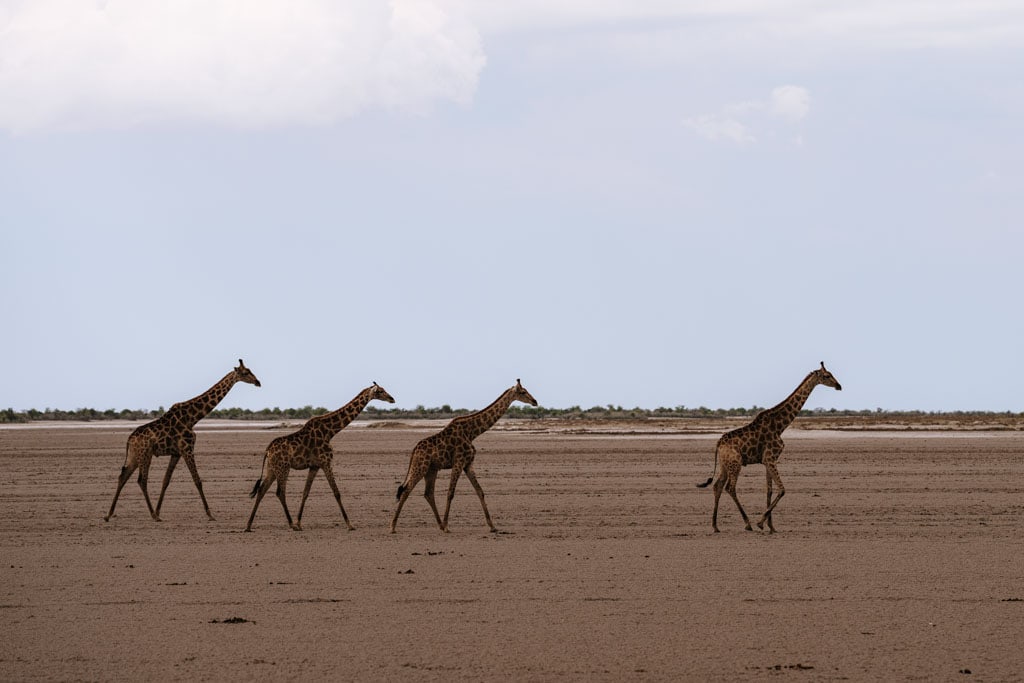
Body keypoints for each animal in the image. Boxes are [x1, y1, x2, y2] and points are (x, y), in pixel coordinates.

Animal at [104, 358, 262, 524]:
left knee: (123, 476)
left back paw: (109, 514)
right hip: (145, 454)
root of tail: (130, 439)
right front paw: (210, 514)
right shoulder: (187, 448)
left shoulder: (176, 453)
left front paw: (159, 511)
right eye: (245, 372)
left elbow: (166, 481)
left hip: (134, 456)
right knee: (141, 480)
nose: (258, 382)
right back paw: (152, 515)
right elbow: (197, 480)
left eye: (250, 370)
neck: (193, 418)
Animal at [243, 382, 395, 532]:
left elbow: (305, 492)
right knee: (280, 492)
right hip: (283, 467)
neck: (330, 432)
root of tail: (267, 450)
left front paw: (299, 522)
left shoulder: (314, 466)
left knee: (262, 490)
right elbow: (336, 492)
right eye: (380, 391)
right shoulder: (326, 462)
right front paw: (350, 525)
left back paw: (248, 525)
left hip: (272, 468)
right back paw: (291, 525)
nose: (392, 399)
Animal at [387, 378, 540, 532]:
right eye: (523, 392)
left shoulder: (468, 464)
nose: (535, 401)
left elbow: (480, 491)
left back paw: (439, 525)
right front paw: (447, 526)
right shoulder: (459, 462)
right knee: (406, 490)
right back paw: (393, 527)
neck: (472, 432)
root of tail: (414, 451)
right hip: (420, 467)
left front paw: (492, 526)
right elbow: (450, 493)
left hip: (431, 470)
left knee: (428, 493)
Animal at [696, 362, 847, 532]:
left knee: (718, 486)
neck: (780, 426)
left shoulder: (767, 460)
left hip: (725, 464)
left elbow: (769, 490)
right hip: (735, 463)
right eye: (827, 376)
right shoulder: (770, 458)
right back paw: (747, 523)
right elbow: (782, 489)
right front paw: (761, 522)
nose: (839, 386)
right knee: (730, 487)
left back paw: (715, 526)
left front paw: (771, 526)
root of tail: (718, 444)